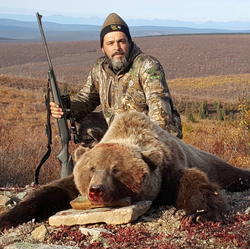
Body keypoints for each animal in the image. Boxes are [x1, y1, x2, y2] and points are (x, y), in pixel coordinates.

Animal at [0, 111, 250, 230]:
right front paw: (8, 217)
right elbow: (49, 193)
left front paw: (196, 215)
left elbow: (196, 183)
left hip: (212, 162)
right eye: (91, 168)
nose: (96, 190)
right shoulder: (74, 185)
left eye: (116, 170)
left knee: (231, 174)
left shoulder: (168, 171)